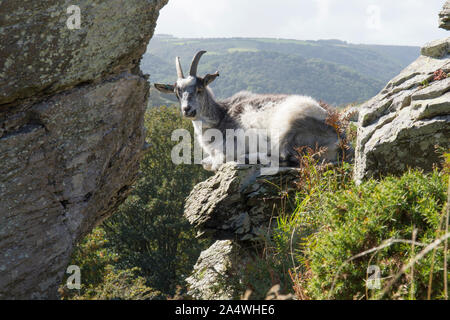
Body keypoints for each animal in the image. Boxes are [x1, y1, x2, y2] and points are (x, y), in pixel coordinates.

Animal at [155, 50, 342, 171]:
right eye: (177, 94)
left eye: (200, 89)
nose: (187, 110)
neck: (220, 116)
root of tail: (338, 137)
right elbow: (205, 163)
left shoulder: (228, 147)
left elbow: (214, 163)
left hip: (289, 128)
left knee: (285, 157)